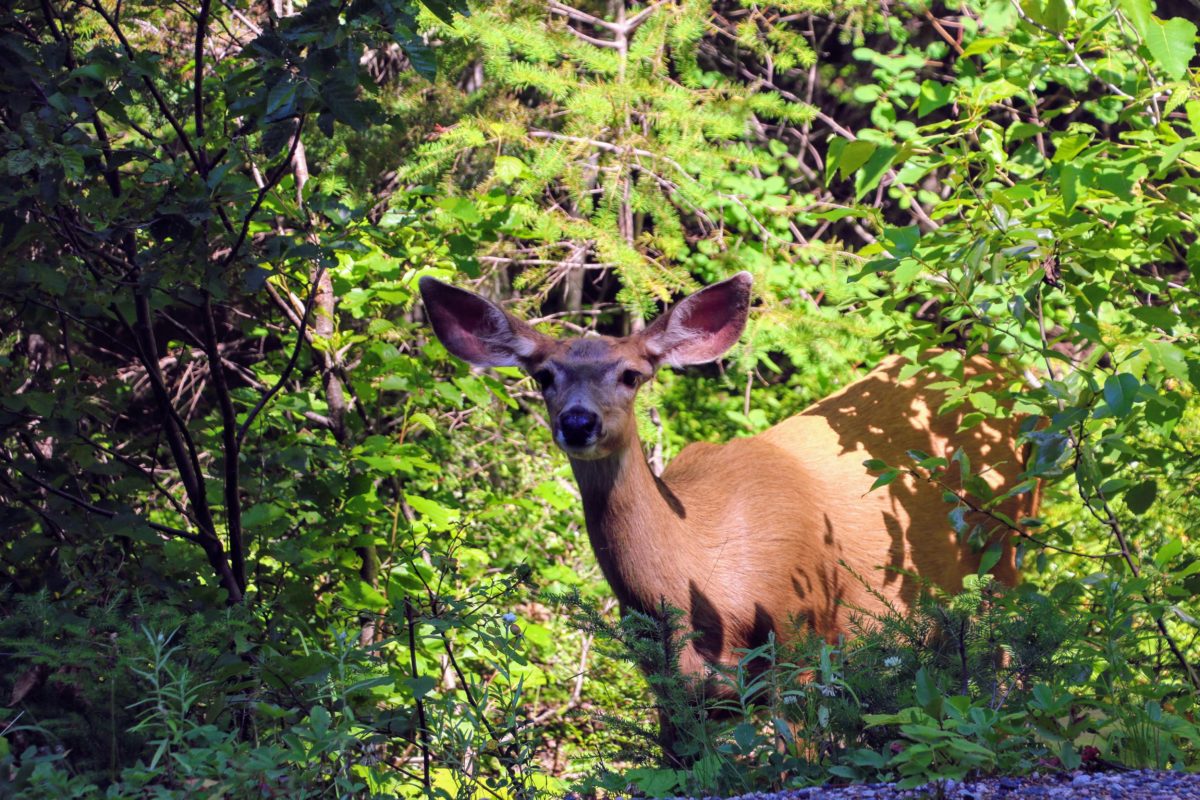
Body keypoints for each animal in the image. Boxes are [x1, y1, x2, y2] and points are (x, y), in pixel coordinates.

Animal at [417, 271, 1036, 695]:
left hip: (1010, 543)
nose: (578, 422)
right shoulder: (672, 688)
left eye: (631, 375)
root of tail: (1004, 372)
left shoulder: (805, 642)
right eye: (544, 376)